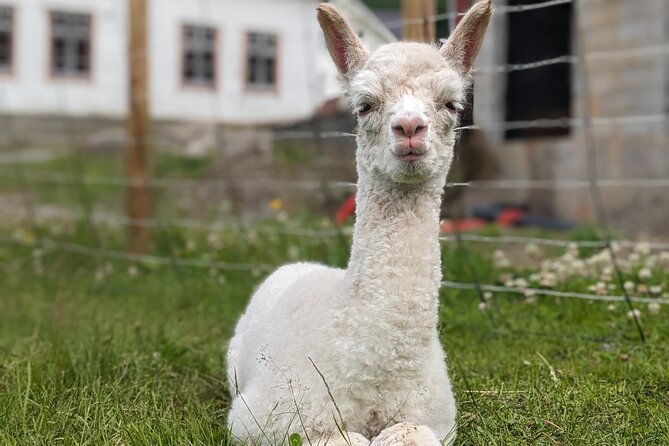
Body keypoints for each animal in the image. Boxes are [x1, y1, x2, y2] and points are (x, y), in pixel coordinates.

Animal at [226, 2, 492, 445]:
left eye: (451, 104)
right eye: (365, 104)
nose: (409, 127)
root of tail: (303, 266)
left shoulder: (436, 416)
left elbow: (410, 433)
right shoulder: (261, 418)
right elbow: (339, 439)